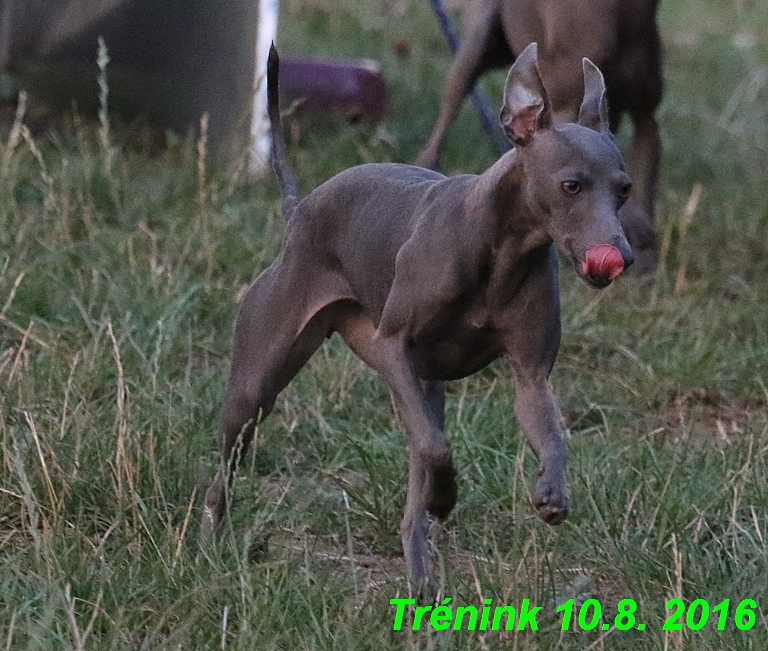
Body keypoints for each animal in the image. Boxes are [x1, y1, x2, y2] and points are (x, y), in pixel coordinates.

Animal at [201, 43, 632, 588]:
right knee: (228, 461)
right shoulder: (392, 347)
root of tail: (299, 212)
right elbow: (436, 448)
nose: (622, 256)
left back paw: (421, 576)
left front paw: (552, 492)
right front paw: (446, 495)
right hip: (261, 382)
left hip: (420, 386)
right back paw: (206, 542)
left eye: (624, 190)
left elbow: (551, 434)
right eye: (571, 186)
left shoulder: (530, 377)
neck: (501, 251)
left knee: (414, 492)